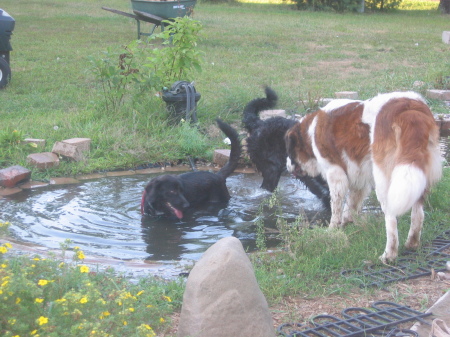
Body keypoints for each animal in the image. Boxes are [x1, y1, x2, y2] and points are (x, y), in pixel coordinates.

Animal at [286, 92, 442, 262]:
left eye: (289, 152)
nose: (286, 166)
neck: (310, 132)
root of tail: (409, 109)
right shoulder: (358, 174)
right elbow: (352, 202)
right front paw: (347, 223)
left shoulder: (335, 174)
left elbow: (336, 206)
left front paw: (332, 230)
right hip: (416, 174)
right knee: (418, 213)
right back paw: (412, 243)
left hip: (384, 181)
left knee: (391, 219)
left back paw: (389, 254)